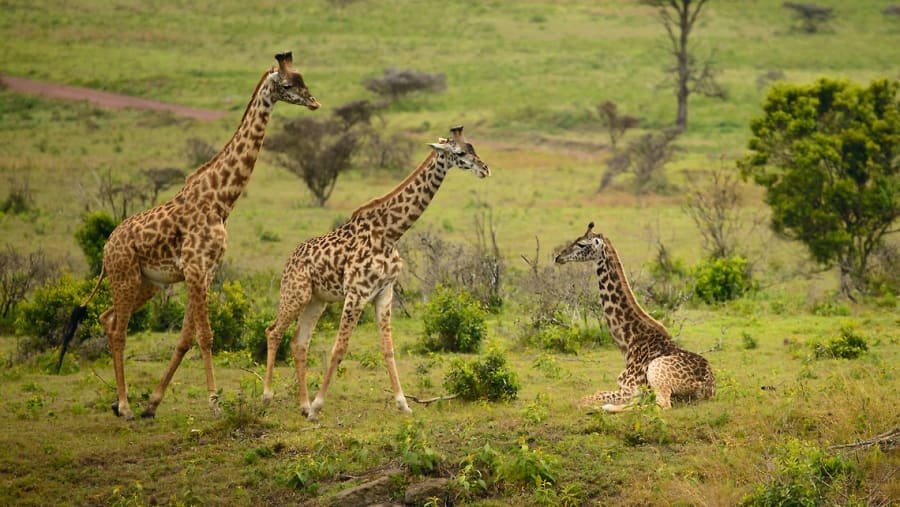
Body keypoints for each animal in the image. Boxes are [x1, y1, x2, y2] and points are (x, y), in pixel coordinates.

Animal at [56, 52, 320, 421]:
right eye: (287, 84)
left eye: (302, 80)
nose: (314, 102)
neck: (221, 199)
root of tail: (107, 248)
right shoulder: (195, 268)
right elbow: (206, 336)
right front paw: (214, 403)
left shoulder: (204, 272)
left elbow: (185, 338)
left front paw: (153, 402)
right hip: (125, 277)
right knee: (120, 330)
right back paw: (124, 406)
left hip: (147, 283)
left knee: (108, 319)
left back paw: (120, 403)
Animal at [262, 126, 490, 422]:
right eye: (461, 152)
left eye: (473, 148)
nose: (485, 169)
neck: (390, 233)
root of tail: (289, 260)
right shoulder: (356, 293)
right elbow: (339, 348)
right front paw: (318, 406)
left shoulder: (384, 292)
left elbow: (388, 349)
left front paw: (403, 404)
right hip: (295, 293)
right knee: (273, 331)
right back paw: (268, 397)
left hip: (317, 301)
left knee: (299, 343)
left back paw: (302, 404)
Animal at [554, 222, 715, 412]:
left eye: (581, 244)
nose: (559, 257)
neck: (629, 340)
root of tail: (707, 387)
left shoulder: (629, 388)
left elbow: (584, 399)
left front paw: (600, 406)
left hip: (656, 373)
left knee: (661, 405)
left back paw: (606, 408)